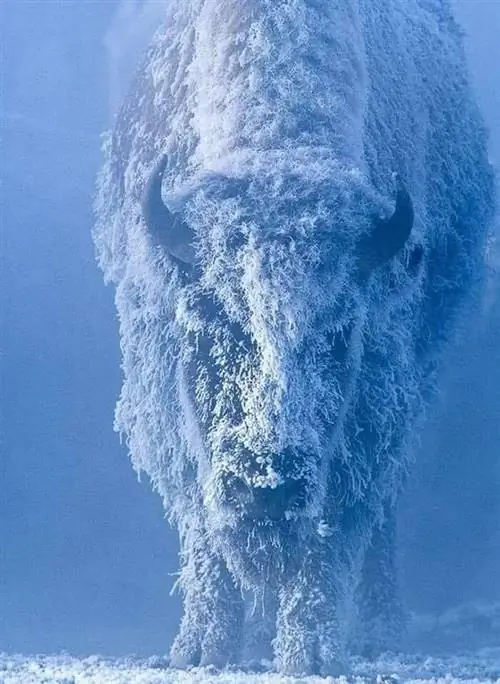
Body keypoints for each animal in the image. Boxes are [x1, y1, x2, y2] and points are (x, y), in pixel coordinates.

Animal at [93, 0, 492, 672]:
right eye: (209, 321)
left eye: (338, 335)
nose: (268, 485)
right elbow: (203, 519)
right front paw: (203, 648)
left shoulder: (369, 395)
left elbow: (333, 526)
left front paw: (313, 653)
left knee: (380, 509)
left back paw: (379, 630)